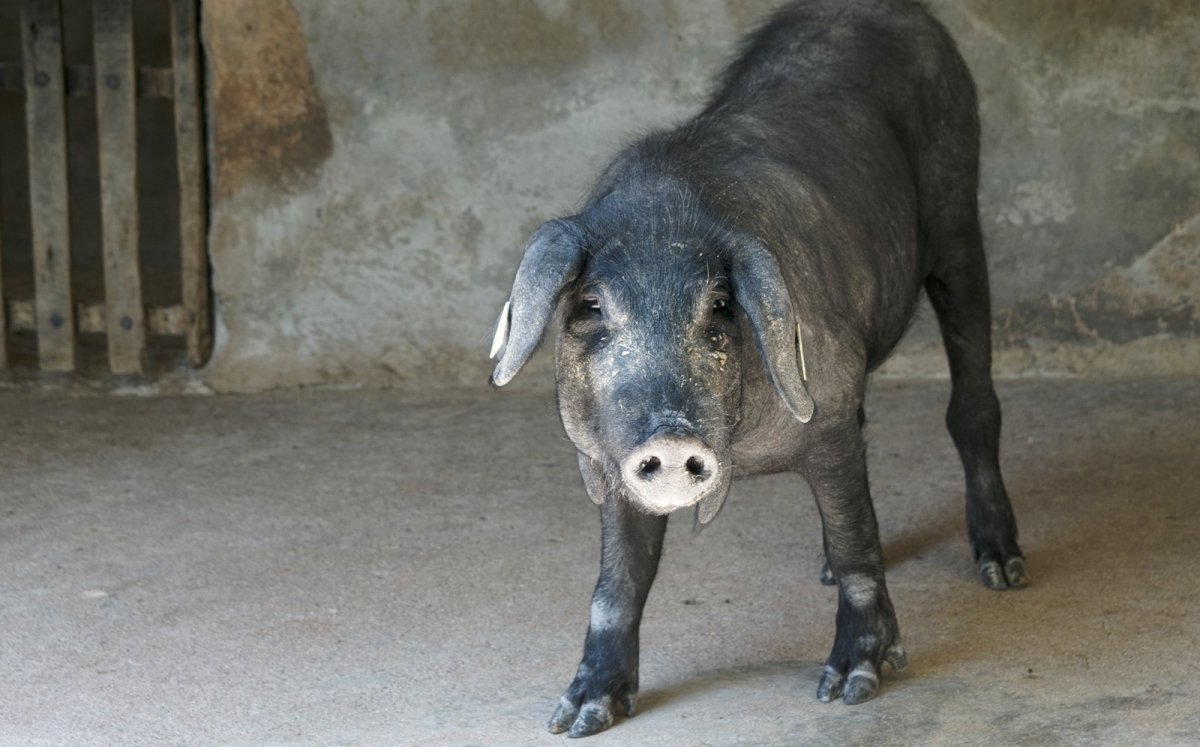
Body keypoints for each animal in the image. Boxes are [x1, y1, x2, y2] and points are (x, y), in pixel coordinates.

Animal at [487, 0, 1022, 739]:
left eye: (718, 306)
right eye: (592, 305)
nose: (670, 438)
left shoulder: (826, 413)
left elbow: (858, 541)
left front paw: (850, 687)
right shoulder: (607, 454)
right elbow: (618, 580)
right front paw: (577, 717)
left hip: (957, 212)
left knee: (971, 397)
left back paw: (1003, 570)